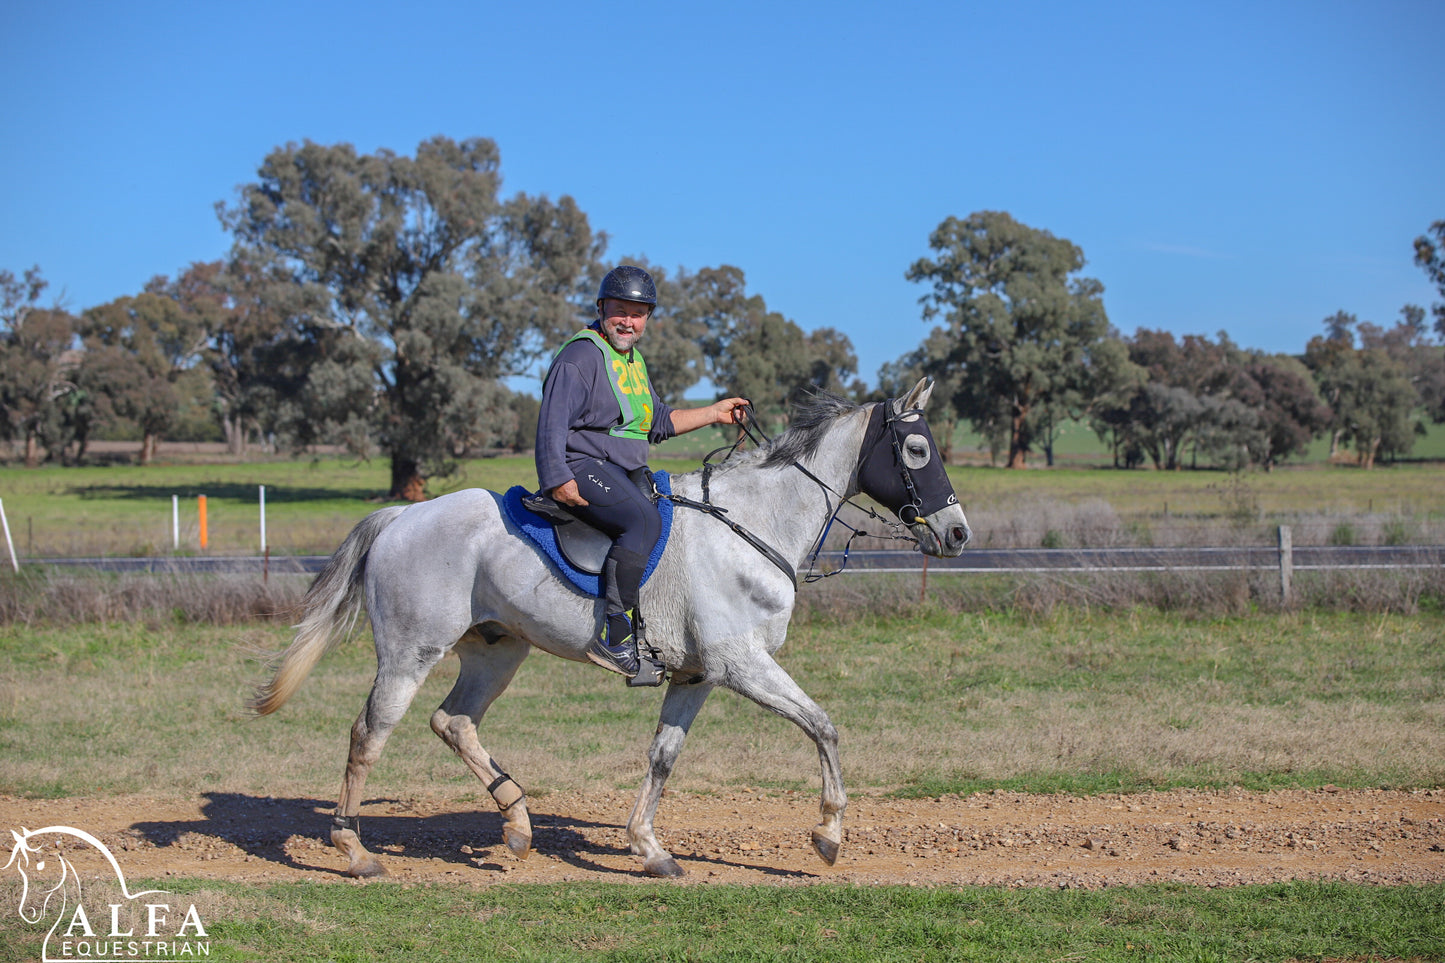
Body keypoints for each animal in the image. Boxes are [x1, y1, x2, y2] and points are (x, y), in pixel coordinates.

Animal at [251, 378, 971, 873]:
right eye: (916, 448)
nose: (959, 533)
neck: (750, 525)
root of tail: (402, 515)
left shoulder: (698, 676)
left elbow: (662, 757)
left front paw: (648, 847)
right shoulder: (741, 664)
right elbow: (822, 725)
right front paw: (827, 834)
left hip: (496, 651)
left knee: (452, 721)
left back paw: (517, 822)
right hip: (409, 652)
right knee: (369, 734)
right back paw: (354, 850)